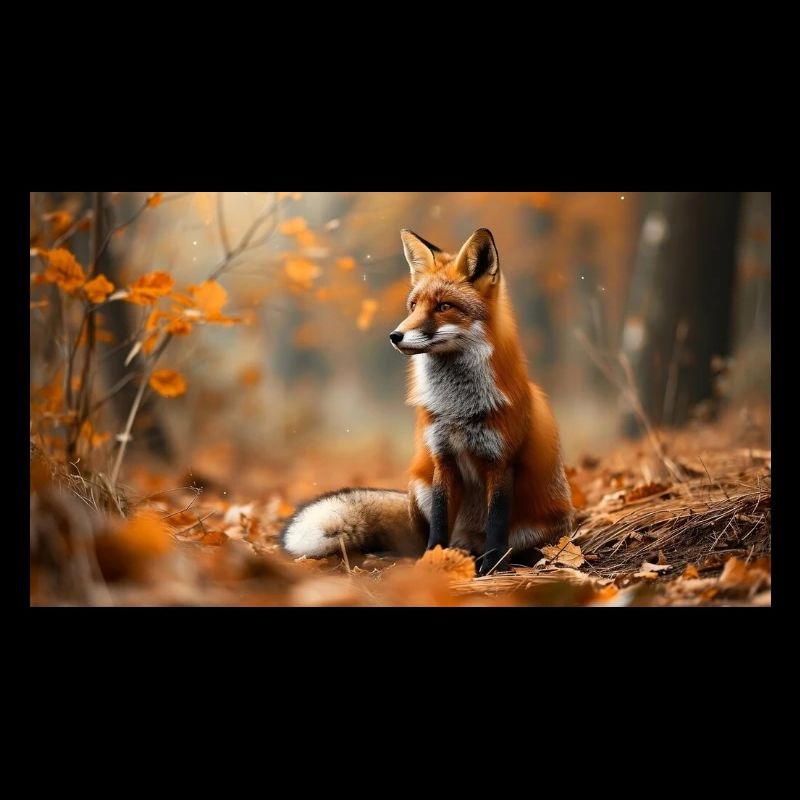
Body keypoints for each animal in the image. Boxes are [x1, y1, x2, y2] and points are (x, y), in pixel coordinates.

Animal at [280, 227, 574, 575]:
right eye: (413, 306)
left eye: (444, 306)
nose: (395, 336)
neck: (458, 409)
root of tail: (468, 540)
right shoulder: (441, 458)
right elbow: (438, 524)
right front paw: (432, 563)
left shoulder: (500, 462)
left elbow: (496, 527)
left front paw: (491, 569)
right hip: (418, 485)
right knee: (420, 540)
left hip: (535, 529)